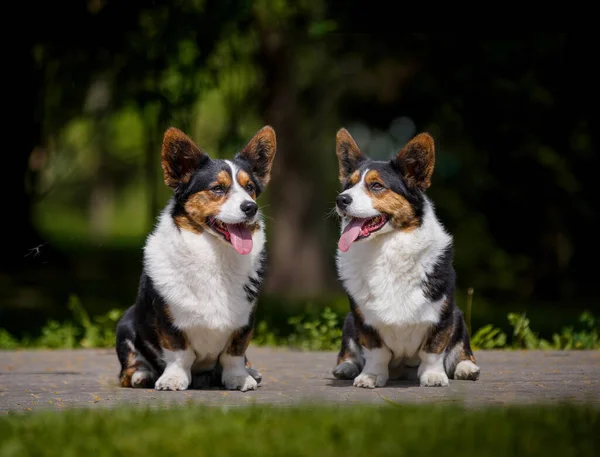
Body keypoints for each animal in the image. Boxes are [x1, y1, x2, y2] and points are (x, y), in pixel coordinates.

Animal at [115, 126, 276, 390]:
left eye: (250, 188)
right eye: (217, 188)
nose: (251, 207)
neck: (216, 255)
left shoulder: (244, 321)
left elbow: (234, 354)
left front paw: (239, 378)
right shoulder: (169, 321)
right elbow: (179, 353)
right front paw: (173, 379)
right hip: (126, 324)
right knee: (128, 368)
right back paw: (142, 374)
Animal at [330, 128, 480, 388]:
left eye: (376, 186)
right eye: (348, 186)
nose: (341, 199)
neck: (385, 248)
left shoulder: (442, 314)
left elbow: (433, 349)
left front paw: (433, 376)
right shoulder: (362, 319)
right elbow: (375, 352)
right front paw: (371, 376)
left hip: (459, 317)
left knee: (461, 350)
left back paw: (467, 368)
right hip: (349, 322)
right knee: (349, 351)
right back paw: (346, 367)